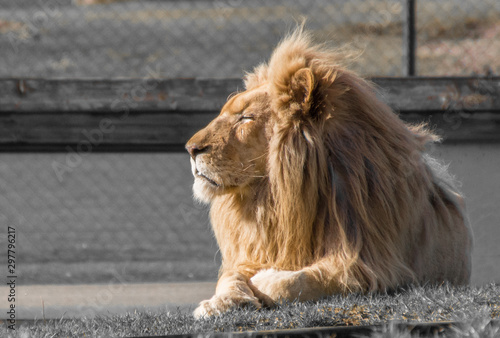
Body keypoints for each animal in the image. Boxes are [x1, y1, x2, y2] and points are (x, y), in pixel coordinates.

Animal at [185, 27, 472, 318]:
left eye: (246, 118)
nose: (190, 149)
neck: (276, 198)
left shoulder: (377, 267)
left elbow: (299, 281)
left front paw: (265, 279)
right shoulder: (252, 252)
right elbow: (229, 277)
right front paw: (218, 303)